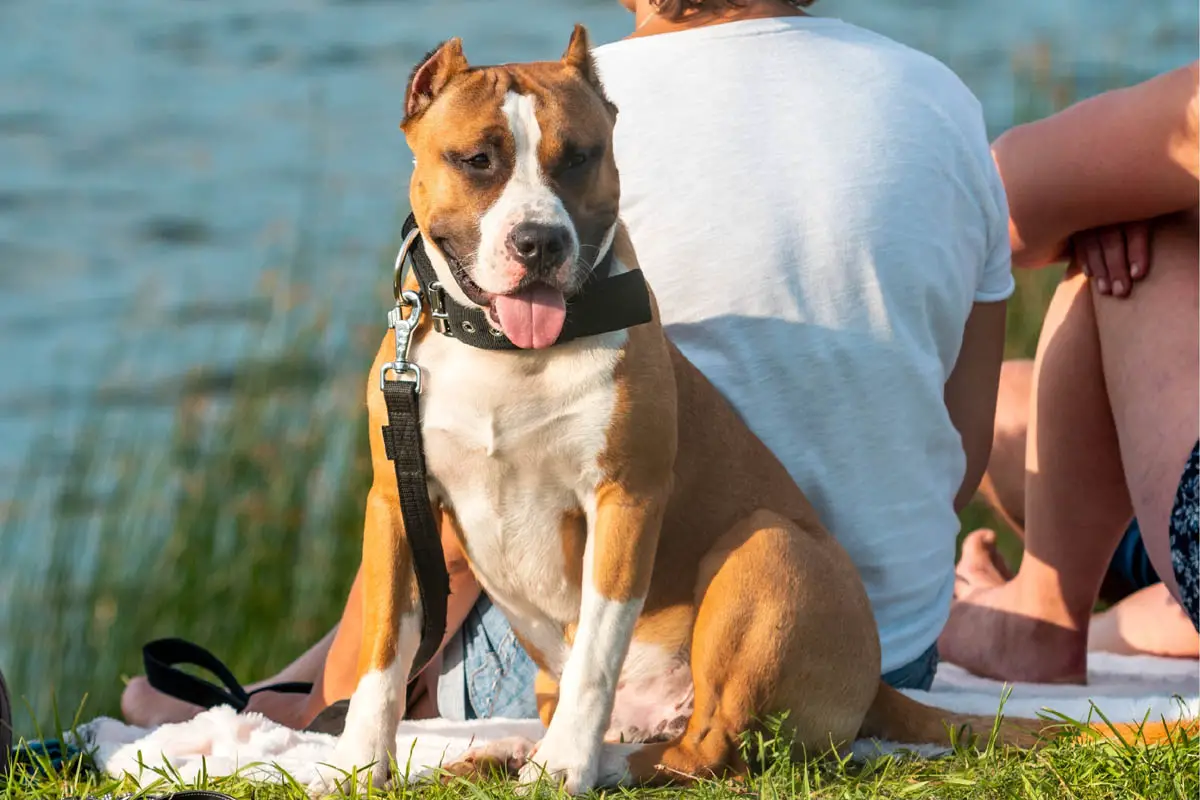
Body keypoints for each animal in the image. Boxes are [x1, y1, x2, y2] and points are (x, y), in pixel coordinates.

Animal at [309, 23, 1060, 796]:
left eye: (579, 158)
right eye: (477, 160)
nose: (539, 242)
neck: (505, 355)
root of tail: (881, 680)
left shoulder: (626, 499)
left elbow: (596, 654)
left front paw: (566, 765)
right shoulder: (396, 503)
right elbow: (383, 656)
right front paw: (357, 763)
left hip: (768, 549)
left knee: (708, 748)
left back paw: (583, 761)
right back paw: (505, 752)